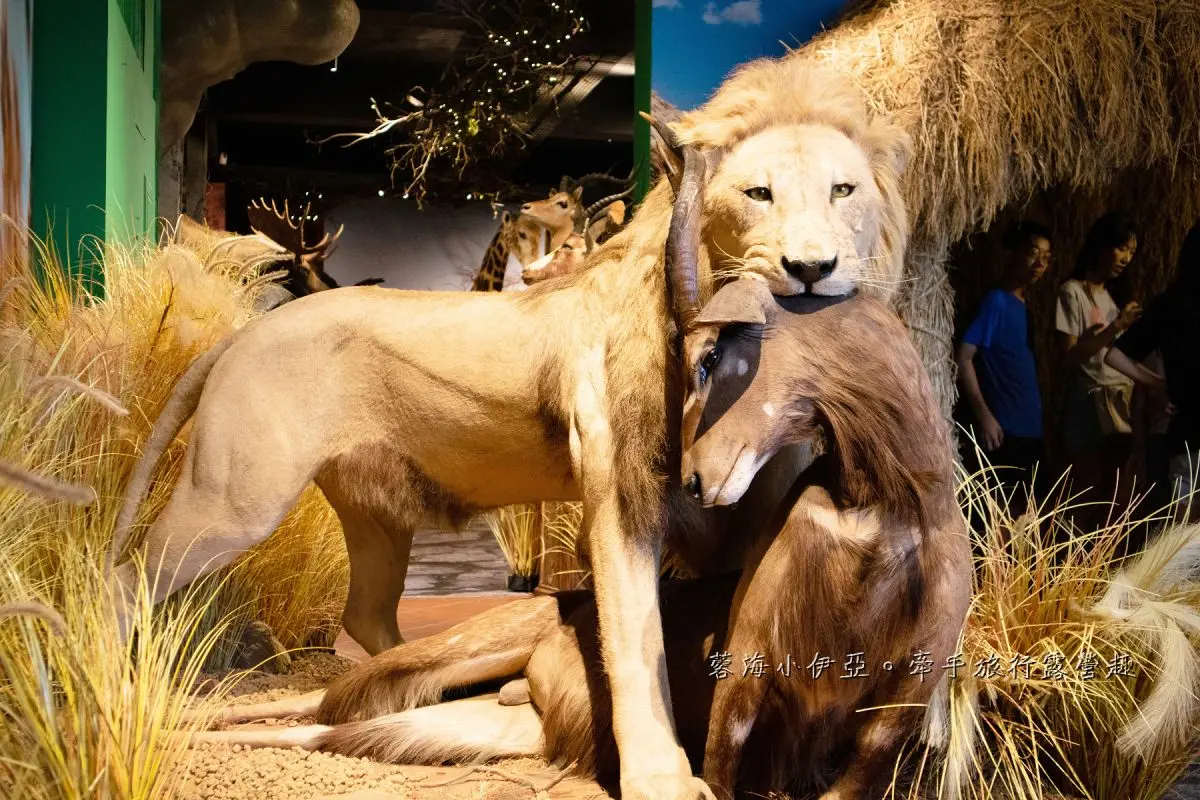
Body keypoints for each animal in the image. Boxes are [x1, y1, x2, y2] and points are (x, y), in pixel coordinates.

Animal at [187, 279, 972, 800]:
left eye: (712, 365)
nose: (691, 477)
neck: (883, 508)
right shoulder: (749, 666)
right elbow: (719, 767)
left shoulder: (900, 700)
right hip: (473, 646)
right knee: (330, 698)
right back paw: (183, 713)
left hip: (479, 710)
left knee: (338, 720)